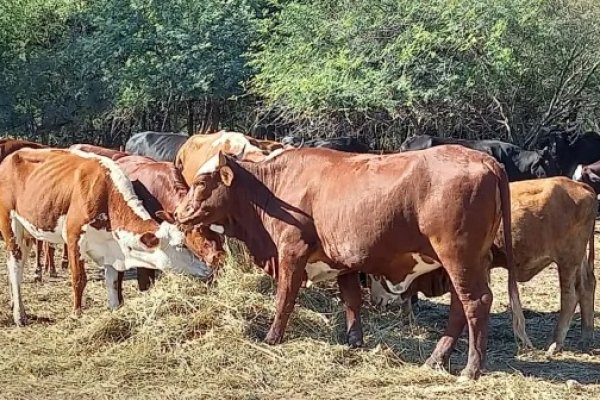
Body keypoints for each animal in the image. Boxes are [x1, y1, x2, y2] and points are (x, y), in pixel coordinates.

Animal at [0, 147, 213, 324]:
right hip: (10, 226)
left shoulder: (112, 247)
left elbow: (112, 281)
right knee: (14, 265)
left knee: (18, 266)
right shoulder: (74, 237)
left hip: (27, 231)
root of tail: (11, 156)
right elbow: (79, 278)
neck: (106, 194)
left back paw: (16, 306)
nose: (208, 269)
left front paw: (114, 311)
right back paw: (19, 315)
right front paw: (76, 314)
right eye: (181, 245)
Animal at [176, 145, 532, 380]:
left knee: (476, 302)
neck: (272, 190)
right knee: (460, 307)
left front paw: (272, 337)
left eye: (202, 183)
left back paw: (471, 368)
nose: (179, 212)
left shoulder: (291, 251)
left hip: (459, 257)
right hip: (465, 262)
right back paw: (435, 359)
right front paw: (354, 341)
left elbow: (284, 299)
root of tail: (483, 157)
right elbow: (351, 301)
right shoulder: (343, 261)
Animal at [370, 178, 596, 356]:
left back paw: (556, 343)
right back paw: (586, 337)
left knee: (570, 296)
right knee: (587, 287)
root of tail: (580, 186)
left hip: (567, 260)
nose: (375, 300)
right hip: (578, 260)